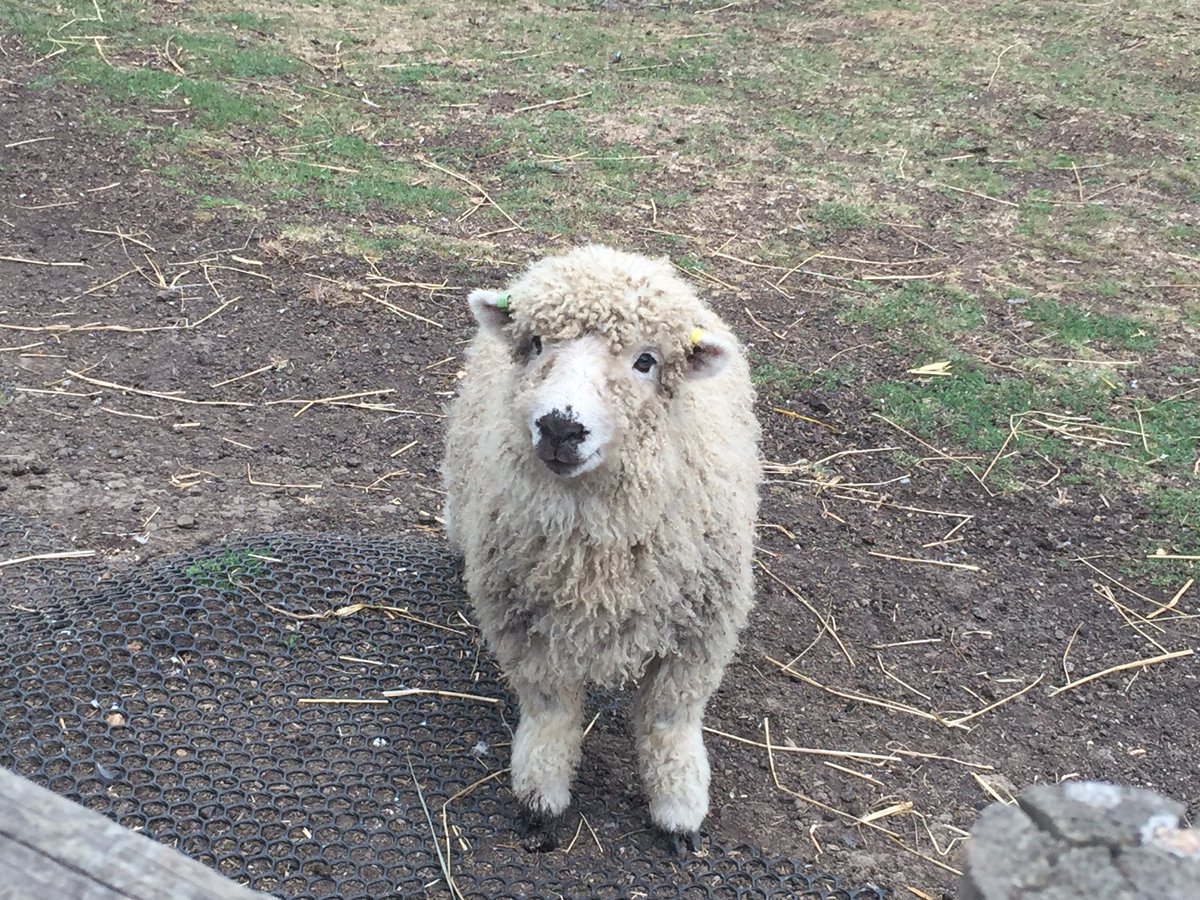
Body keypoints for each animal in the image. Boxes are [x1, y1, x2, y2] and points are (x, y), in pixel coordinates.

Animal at [441, 244, 760, 853]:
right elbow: (551, 710)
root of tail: (611, 253)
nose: (559, 427)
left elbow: (669, 718)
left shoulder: (699, 635)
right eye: (536, 344)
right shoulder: (526, 627)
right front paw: (541, 794)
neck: (594, 556)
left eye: (646, 362)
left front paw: (679, 806)